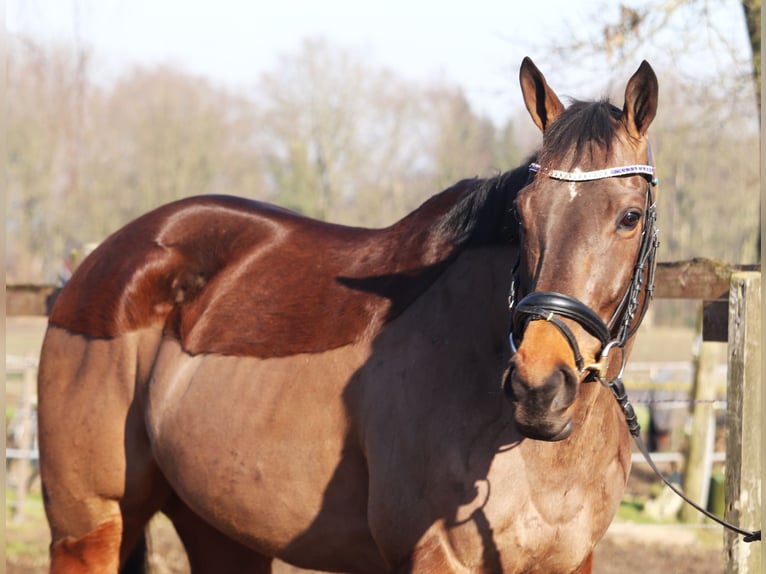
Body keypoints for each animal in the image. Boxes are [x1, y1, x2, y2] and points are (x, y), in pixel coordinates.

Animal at [37, 59, 660, 574]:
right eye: (522, 215)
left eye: (629, 217)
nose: (538, 387)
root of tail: (98, 268)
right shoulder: (435, 560)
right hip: (88, 531)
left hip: (220, 529)